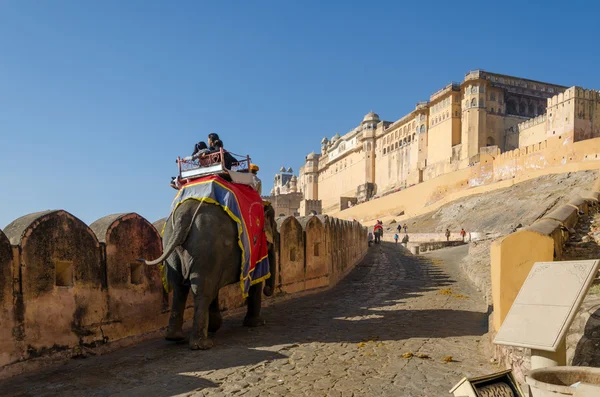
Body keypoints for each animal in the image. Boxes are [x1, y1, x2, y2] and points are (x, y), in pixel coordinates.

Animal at [142, 200, 278, 348]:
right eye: (275, 228)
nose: (268, 290)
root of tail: (183, 218)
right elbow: (254, 281)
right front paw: (257, 323)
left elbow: (215, 287)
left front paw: (215, 326)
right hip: (207, 249)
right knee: (202, 292)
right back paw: (203, 344)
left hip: (173, 247)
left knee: (180, 289)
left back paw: (175, 337)